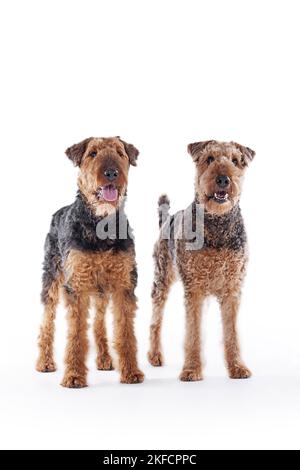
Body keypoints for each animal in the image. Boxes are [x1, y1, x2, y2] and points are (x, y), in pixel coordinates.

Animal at [36, 138, 144, 388]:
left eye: (120, 153)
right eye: (92, 153)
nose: (111, 173)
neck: (101, 225)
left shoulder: (124, 284)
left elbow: (125, 331)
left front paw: (131, 372)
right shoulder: (77, 285)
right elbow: (76, 334)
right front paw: (74, 376)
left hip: (102, 290)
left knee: (98, 324)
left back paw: (104, 358)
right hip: (52, 281)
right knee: (47, 322)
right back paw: (44, 362)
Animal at [149, 140, 254, 382]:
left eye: (236, 161)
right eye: (209, 159)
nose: (223, 179)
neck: (217, 224)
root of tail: (167, 219)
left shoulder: (232, 289)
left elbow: (232, 333)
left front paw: (237, 367)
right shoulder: (194, 289)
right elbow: (193, 334)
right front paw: (191, 369)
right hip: (161, 279)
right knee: (155, 320)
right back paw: (155, 356)